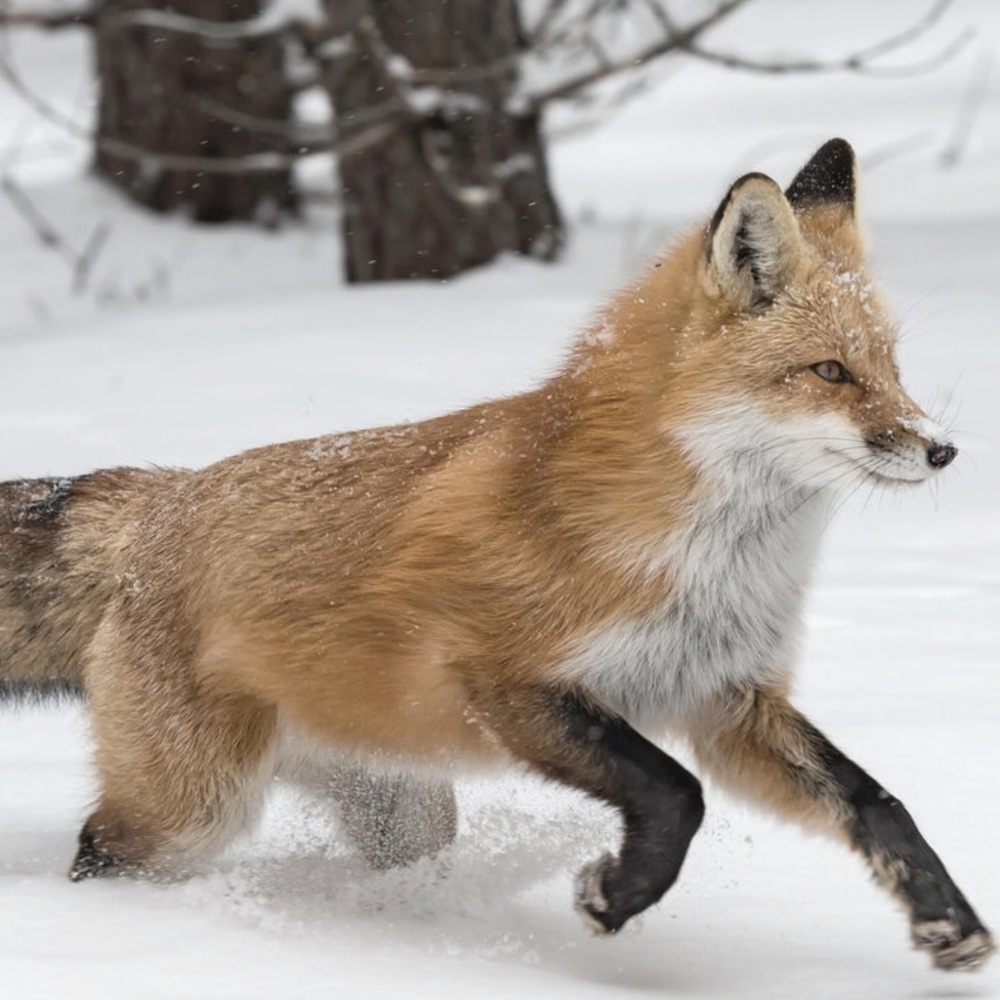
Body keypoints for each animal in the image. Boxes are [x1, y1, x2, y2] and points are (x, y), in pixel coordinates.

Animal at [0, 138, 992, 972]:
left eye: (892, 366)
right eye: (830, 372)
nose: (943, 451)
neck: (705, 560)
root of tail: (163, 498)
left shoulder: (727, 701)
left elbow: (875, 801)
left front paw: (948, 920)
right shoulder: (505, 681)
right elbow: (675, 796)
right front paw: (614, 897)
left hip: (404, 809)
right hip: (193, 812)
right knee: (99, 849)